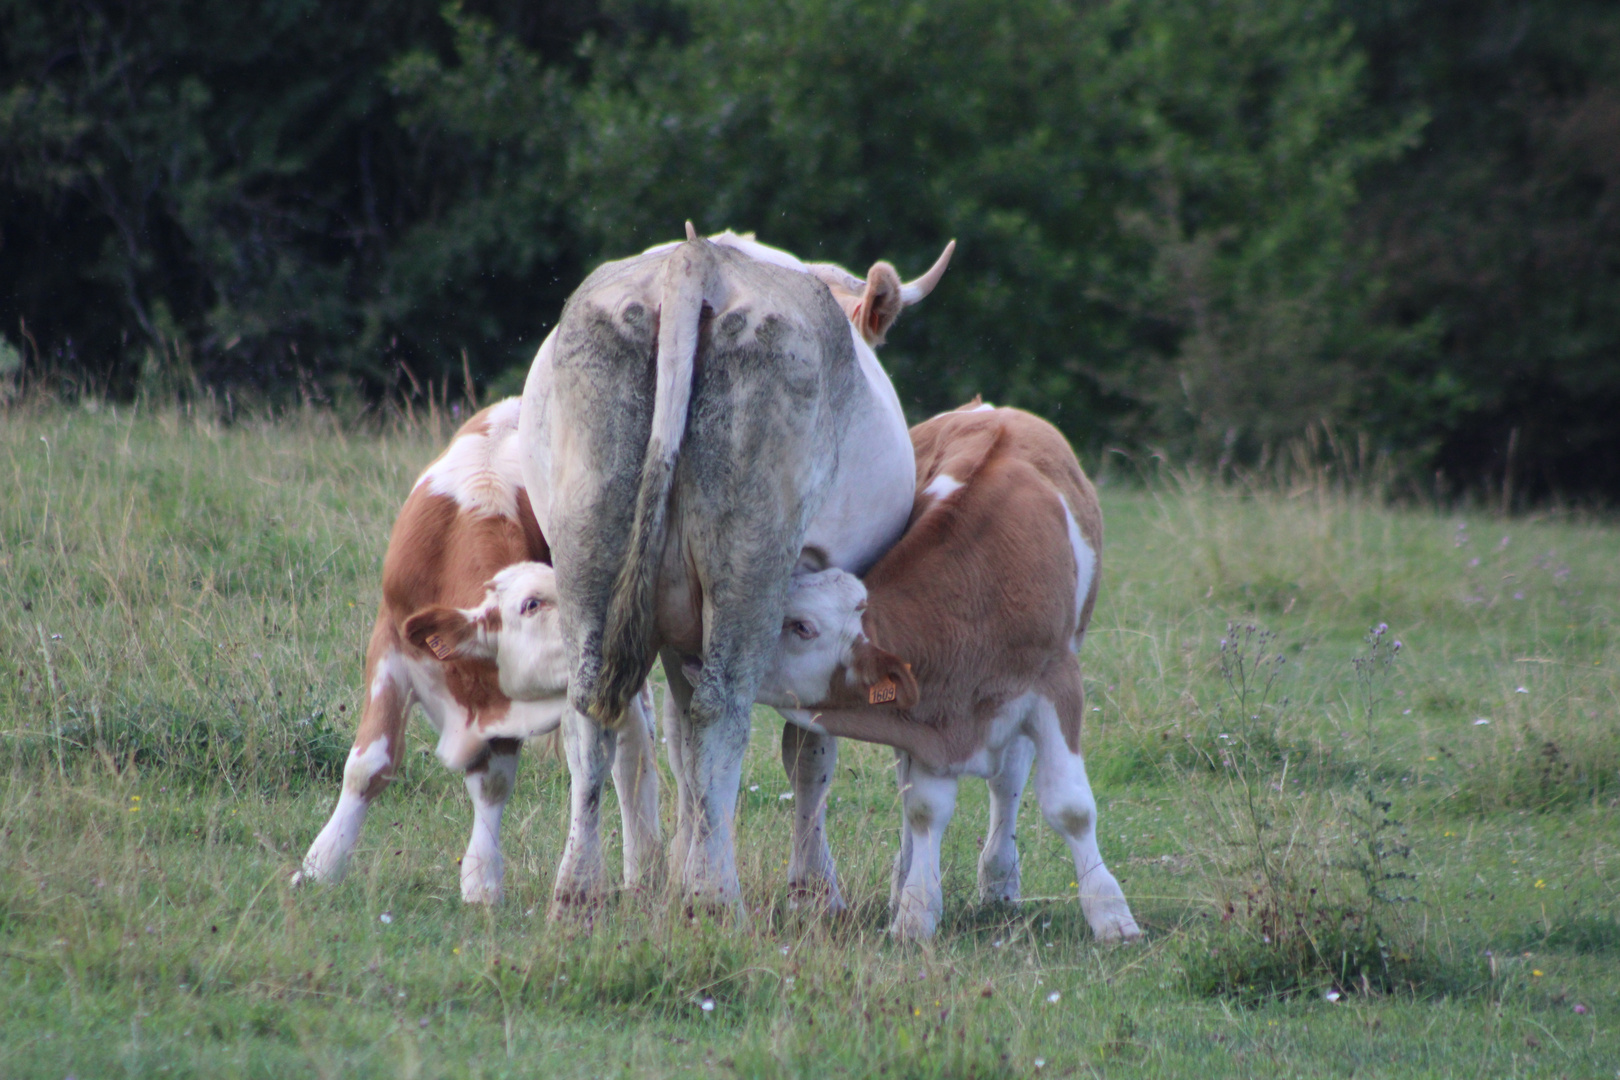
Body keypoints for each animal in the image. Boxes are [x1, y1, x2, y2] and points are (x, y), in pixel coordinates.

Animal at [294, 401, 660, 906]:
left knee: (628, 755)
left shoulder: (506, 699)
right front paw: (322, 864)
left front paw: (482, 879)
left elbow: (493, 782)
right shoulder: (390, 642)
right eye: (531, 604)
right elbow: (368, 765)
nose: (616, 639)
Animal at [518, 229, 946, 913]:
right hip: (749, 559)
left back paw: (580, 892)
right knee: (722, 712)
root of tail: (697, 258)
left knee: (590, 717)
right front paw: (812, 889)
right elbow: (808, 747)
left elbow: (681, 744)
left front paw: (680, 865)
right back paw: (714, 897)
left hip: (587, 545)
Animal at [745, 401, 1140, 939]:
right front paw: (915, 911)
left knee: (1009, 778)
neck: (981, 592)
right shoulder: (932, 706)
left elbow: (1071, 808)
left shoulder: (1058, 682)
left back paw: (999, 880)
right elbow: (924, 808)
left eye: (802, 626)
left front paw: (1112, 914)